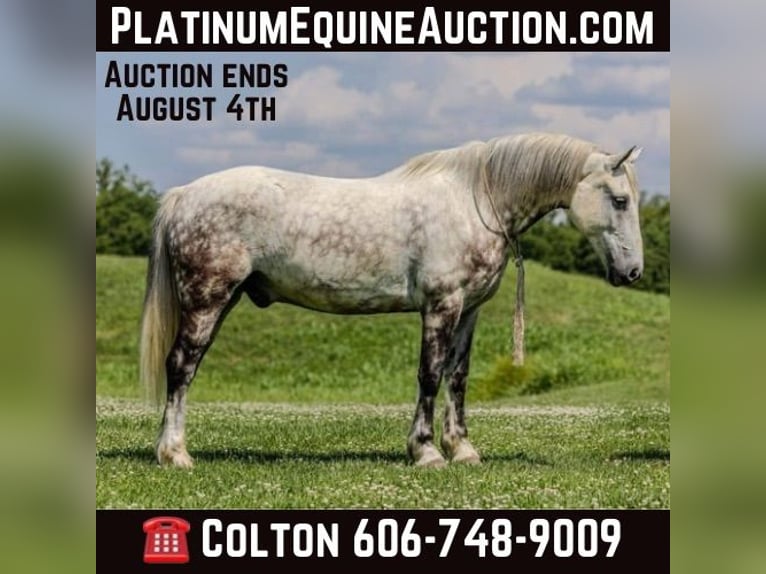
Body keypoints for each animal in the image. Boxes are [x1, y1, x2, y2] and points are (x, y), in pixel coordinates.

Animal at [140, 132, 644, 469]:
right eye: (619, 200)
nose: (633, 272)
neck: (476, 200)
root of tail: (183, 195)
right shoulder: (441, 306)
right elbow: (430, 375)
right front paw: (426, 452)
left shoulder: (469, 311)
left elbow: (458, 378)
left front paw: (462, 449)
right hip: (207, 300)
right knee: (181, 367)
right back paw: (176, 454)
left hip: (222, 301)